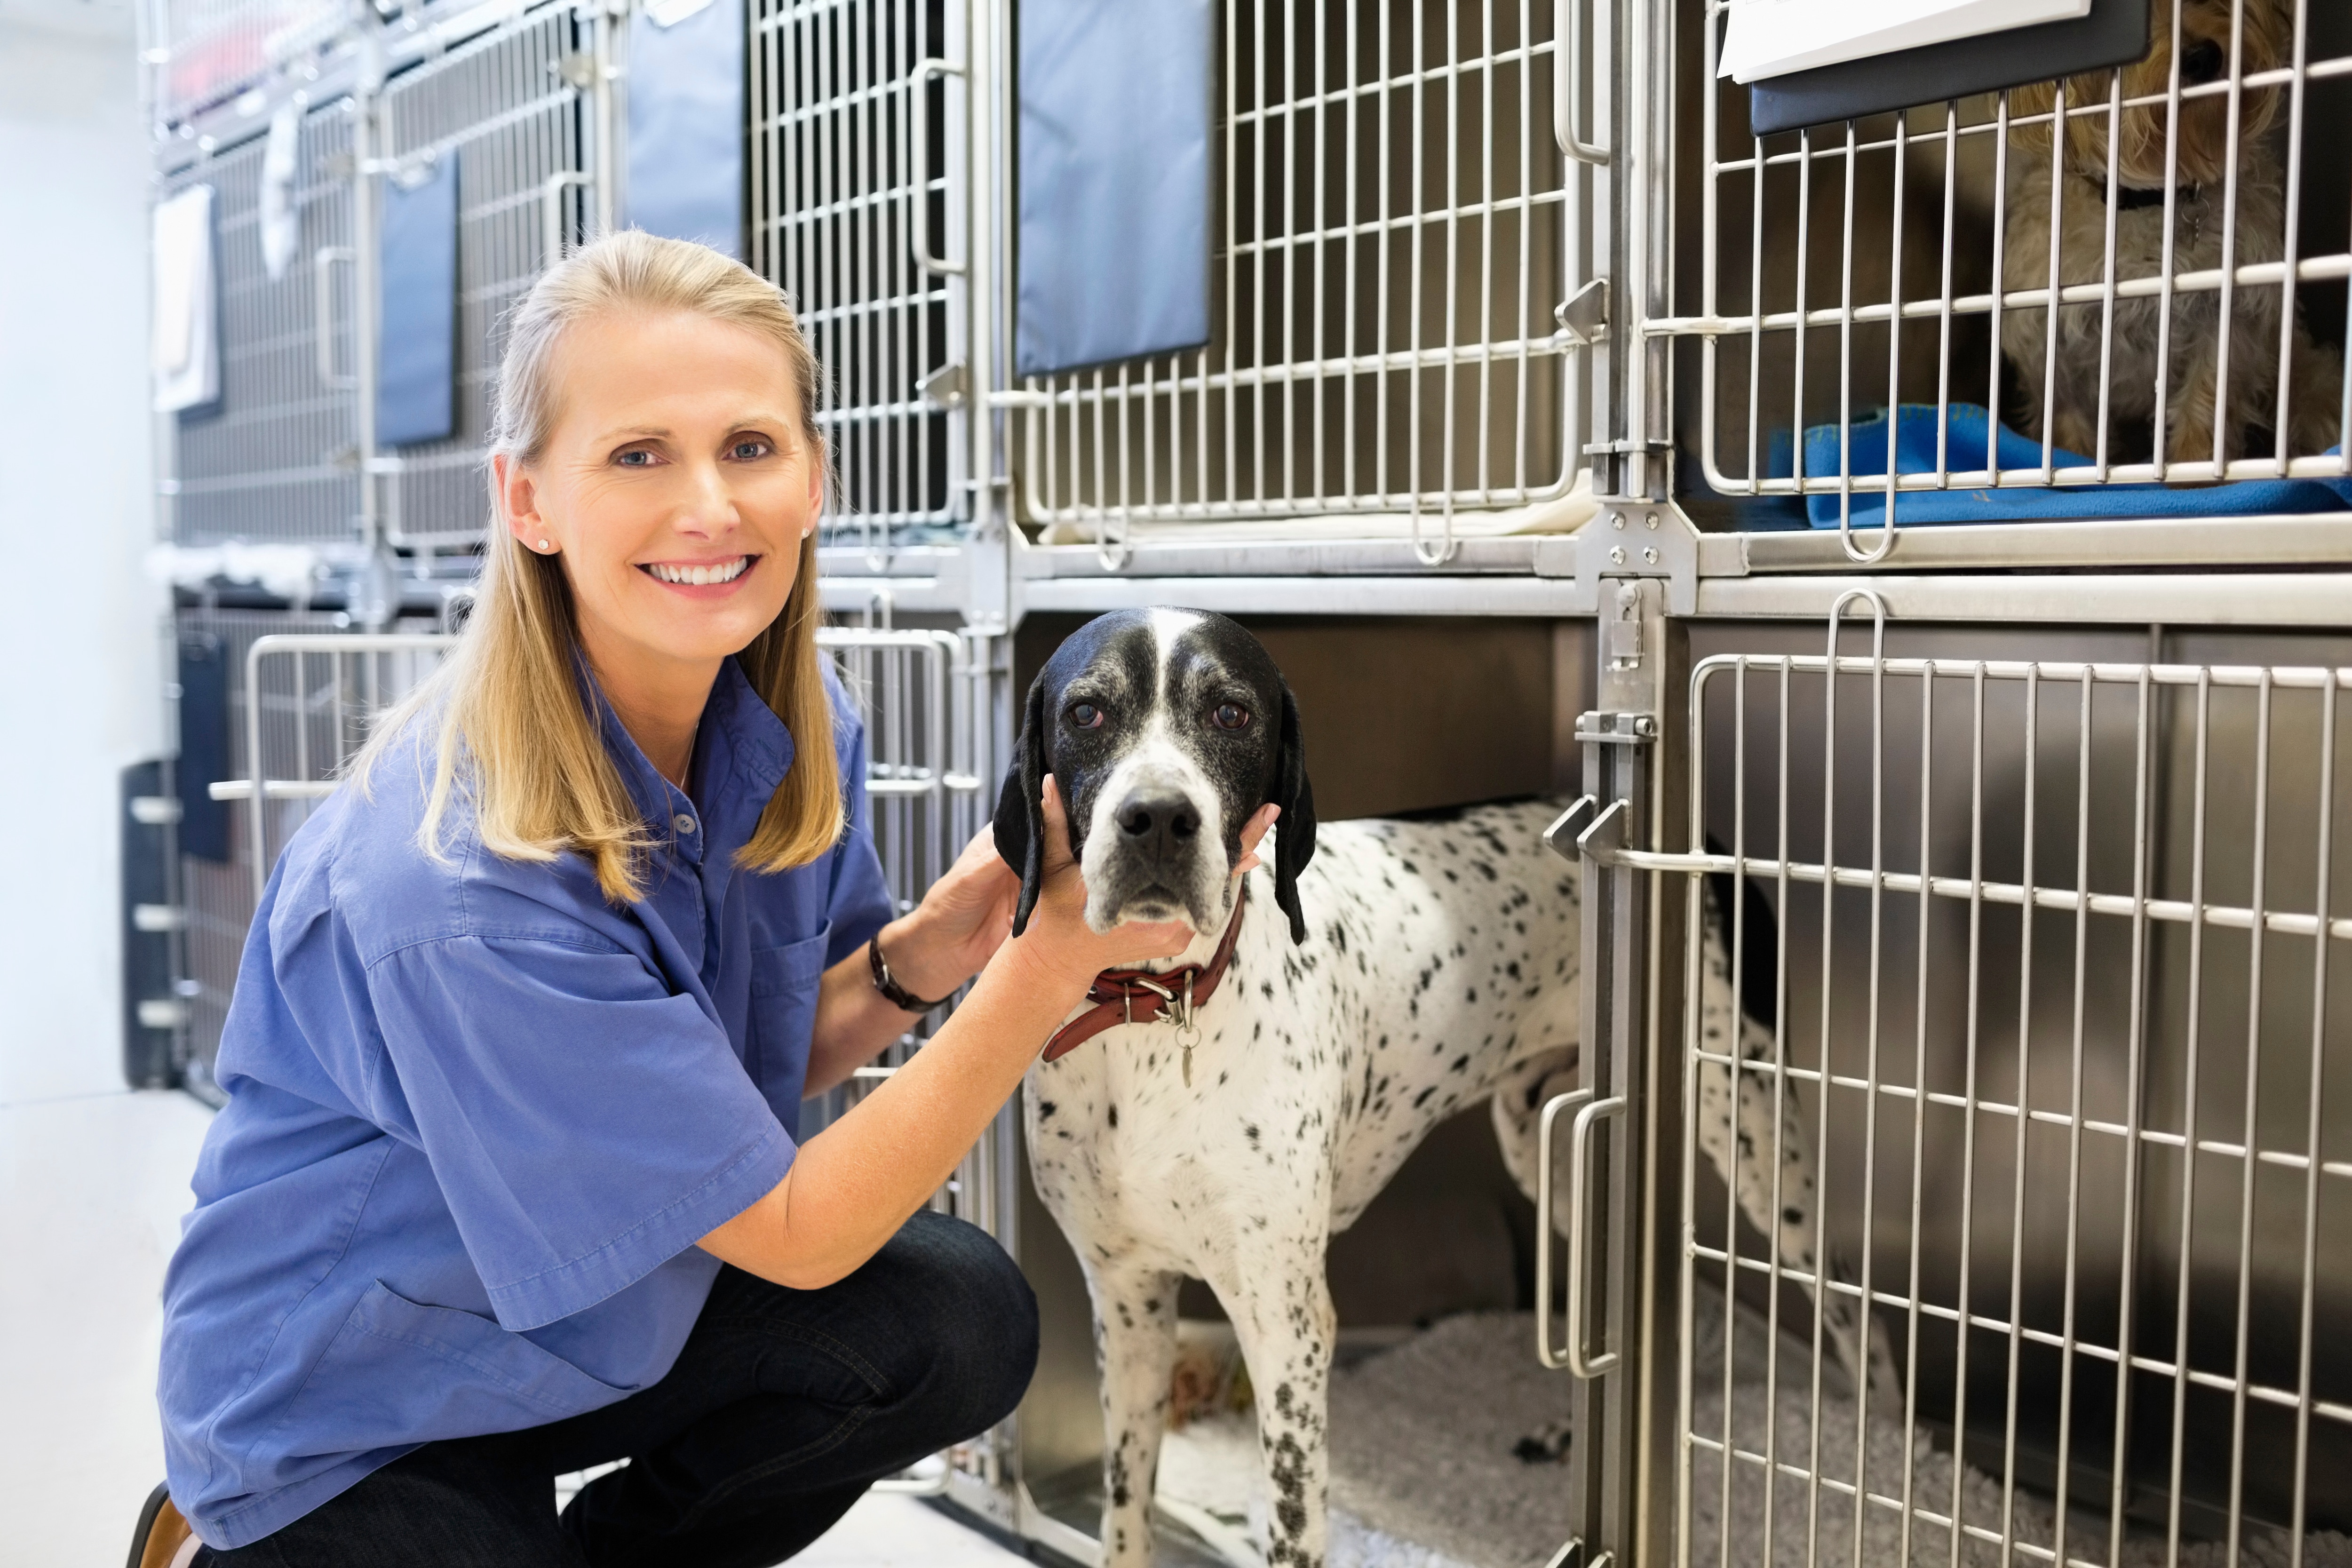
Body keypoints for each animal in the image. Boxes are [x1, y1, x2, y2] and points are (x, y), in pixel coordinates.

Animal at [1002, 611, 1863, 1568]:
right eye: (1087, 711)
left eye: (1231, 712)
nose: (1156, 818)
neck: (1156, 1016)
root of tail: (1696, 840)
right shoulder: (1129, 1302)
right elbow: (1126, 1509)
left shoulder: (1287, 1325)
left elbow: (1293, 1521)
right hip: (1547, 1147)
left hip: (1757, 1138)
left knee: (1856, 1316)